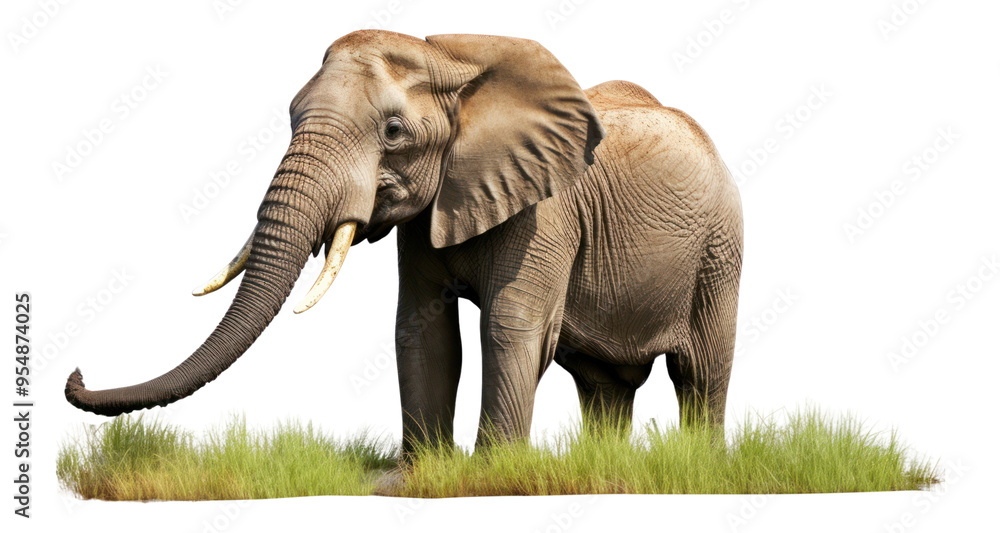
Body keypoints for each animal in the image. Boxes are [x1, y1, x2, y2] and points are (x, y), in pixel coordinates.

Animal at [65, 30, 743, 453]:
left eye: (393, 131)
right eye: (291, 117)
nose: (75, 374)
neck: (449, 61)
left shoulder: (547, 210)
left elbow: (509, 326)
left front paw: (493, 477)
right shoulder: (426, 215)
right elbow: (421, 330)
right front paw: (421, 476)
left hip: (720, 247)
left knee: (701, 369)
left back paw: (699, 465)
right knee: (603, 384)